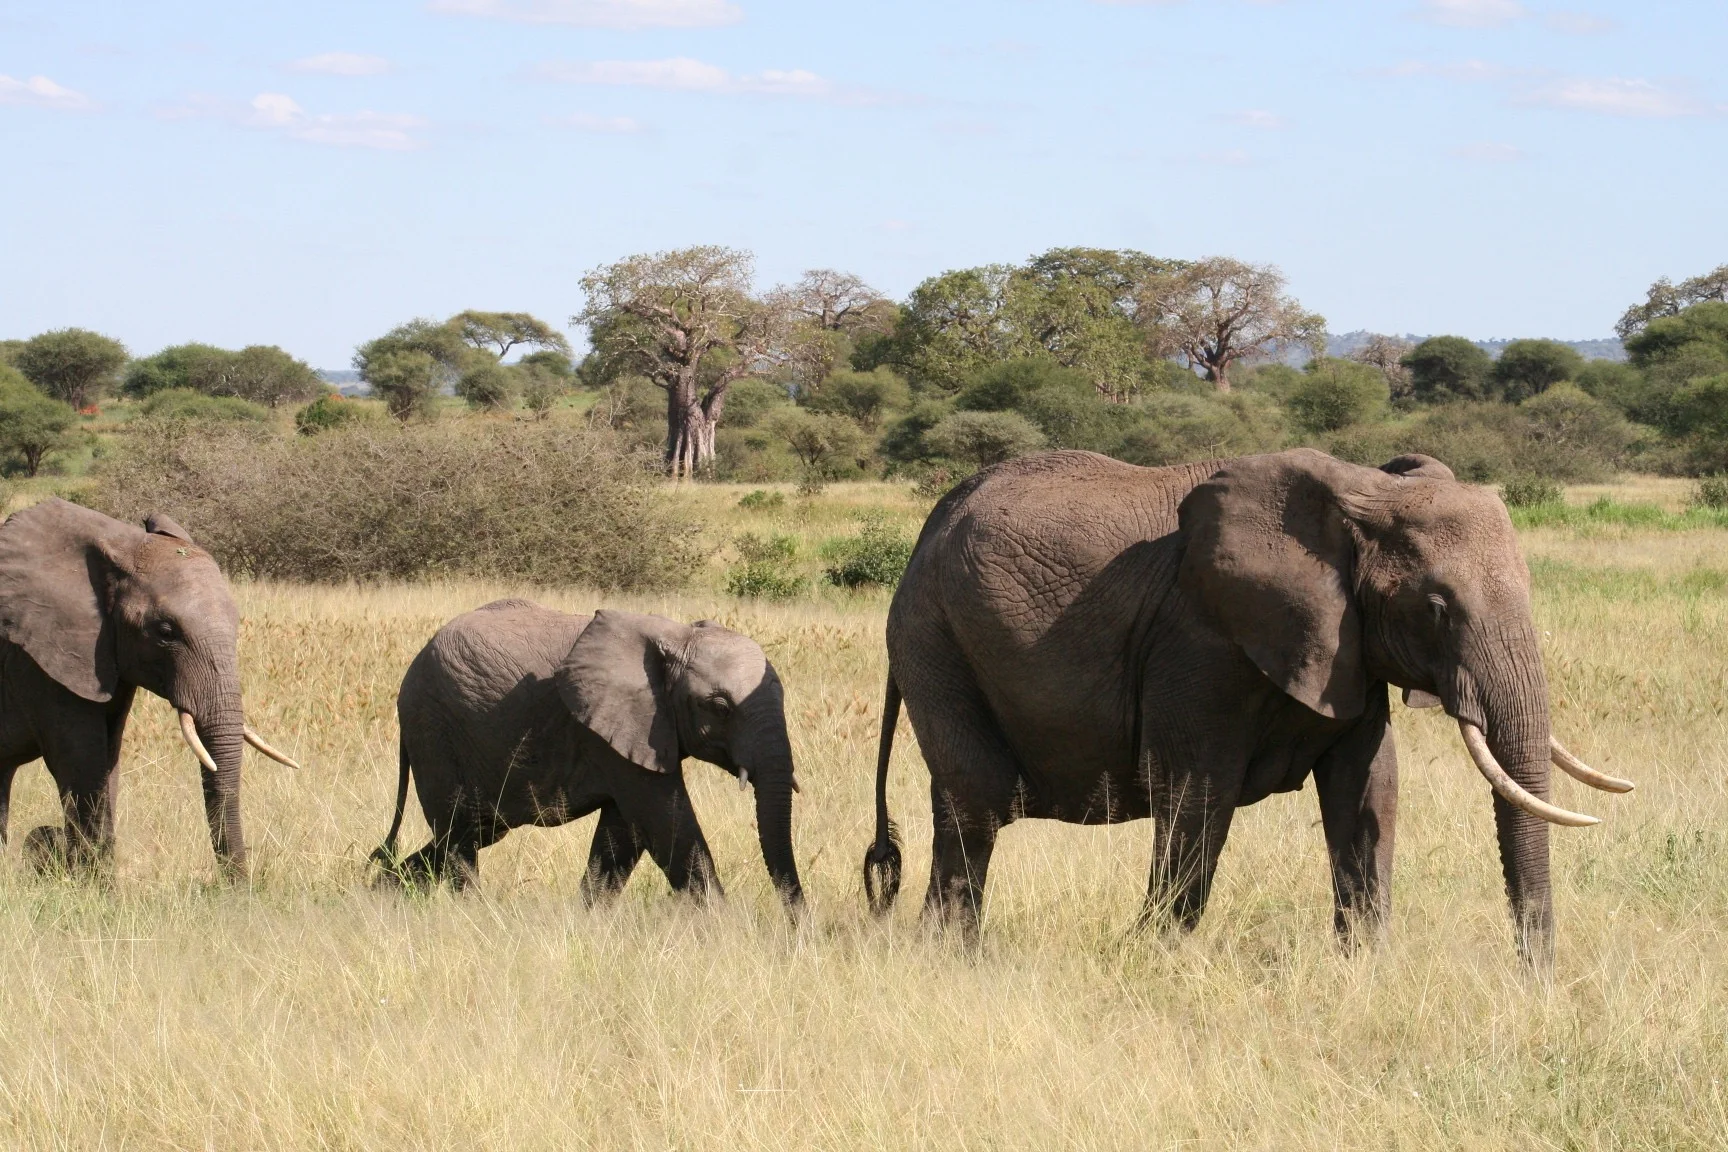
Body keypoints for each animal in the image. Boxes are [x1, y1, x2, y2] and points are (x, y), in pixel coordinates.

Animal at [0, 498, 299, 876]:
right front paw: (93, 882)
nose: (236, 886)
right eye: (166, 632)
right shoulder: (37, 661)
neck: (117, 542)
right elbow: (81, 762)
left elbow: (108, 759)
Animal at [373, 600, 803, 909]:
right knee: (458, 834)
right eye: (720, 707)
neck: (678, 635)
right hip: (434, 729)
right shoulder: (611, 726)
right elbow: (665, 822)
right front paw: (725, 926)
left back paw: (380, 893)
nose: (797, 925)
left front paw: (590, 917)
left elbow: (624, 834)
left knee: (471, 832)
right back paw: (472, 912)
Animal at [863, 449, 1632, 964]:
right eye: (1436, 608)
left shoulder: (1345, 646)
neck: (1362, 495)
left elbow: (1368, 790)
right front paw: (1150, 957)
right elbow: (1198, 793)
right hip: (932, 637)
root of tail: (928, 528)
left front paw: (1361, 969)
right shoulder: (1199, 643)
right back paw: (952, 957)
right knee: (977, 803)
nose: (1535, 980)